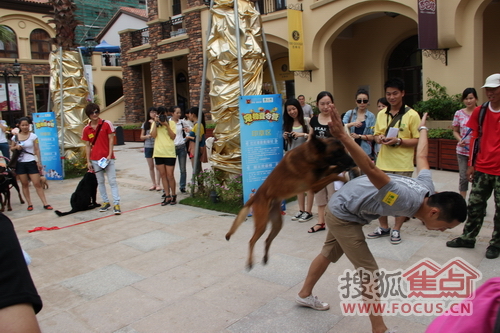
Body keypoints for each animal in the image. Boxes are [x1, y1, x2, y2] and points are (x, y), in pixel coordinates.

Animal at [225, 133, 354, 270]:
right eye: (338, 152)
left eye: (343, 150)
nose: (352, 161)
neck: (310, 156)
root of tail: (255, 196)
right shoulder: (314, 186)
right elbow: (334, 176)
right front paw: (345, 179)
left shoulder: (323, 173)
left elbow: (334, 170)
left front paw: (346, 173)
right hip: (262, 224)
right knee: (252, 241)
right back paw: (250, 262)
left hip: (277, 224)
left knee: (267, 240)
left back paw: (265, 258)